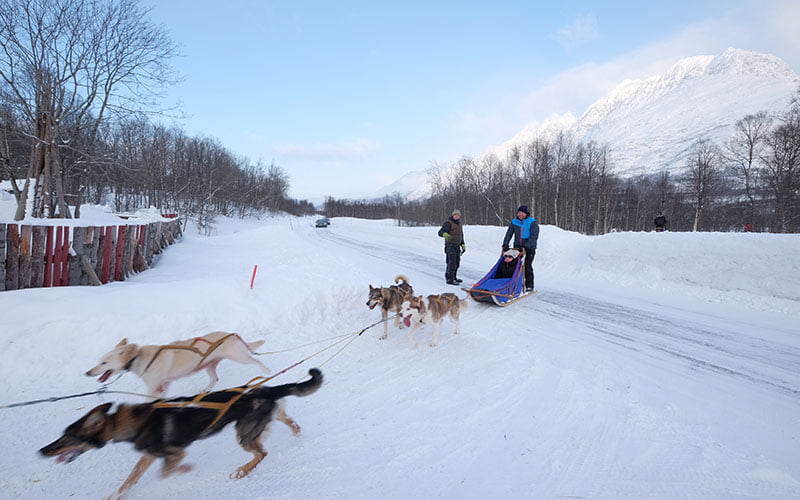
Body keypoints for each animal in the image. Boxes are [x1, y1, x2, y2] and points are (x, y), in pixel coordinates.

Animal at [40, 368, 322, 500]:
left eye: (67, 437)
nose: (42, 450)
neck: (133, 420)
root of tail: (266, 390)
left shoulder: (172, 453)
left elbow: (165, 471)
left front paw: (184, 470)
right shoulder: (147, 456)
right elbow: (129, 480)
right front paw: (116, 495)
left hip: (243, 435)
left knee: (261, 454)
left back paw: (241, 471)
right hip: (265, 420)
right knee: (289, 424)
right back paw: (296, 434)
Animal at [86, 332, 270, 398]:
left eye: (103, 362)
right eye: (99, 361)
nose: (87, 373)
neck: (138, 357)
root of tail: (232, 335)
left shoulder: (153, 388)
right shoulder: (164, 384)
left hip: (238, 356)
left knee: (256, 361)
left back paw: (266, 370)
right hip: (209, 366)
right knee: (214, 379)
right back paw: (205, 390)